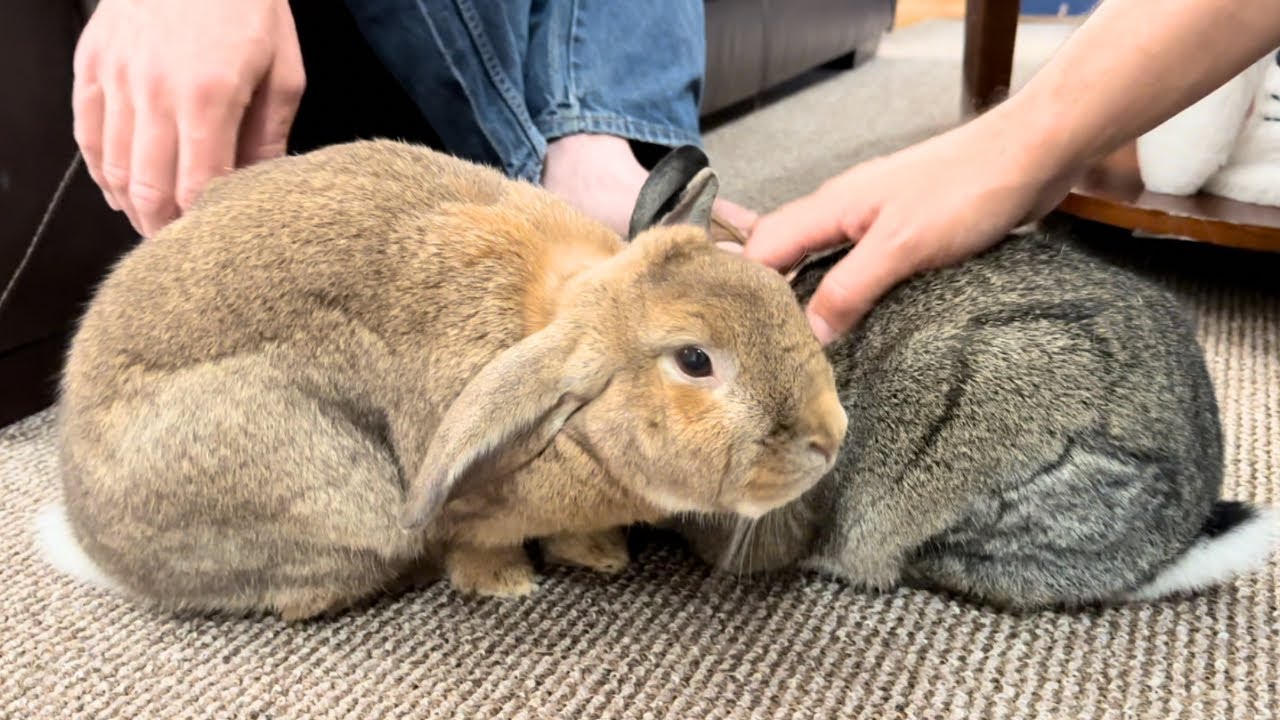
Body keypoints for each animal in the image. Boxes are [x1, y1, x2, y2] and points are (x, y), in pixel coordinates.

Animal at [33, 140, 848, 622]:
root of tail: (100, 548)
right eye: (694, 360)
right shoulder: (469, 505)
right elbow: (475, 546)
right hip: (328, 493)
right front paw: (507, 583)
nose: (829, 438)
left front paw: (601, 556)